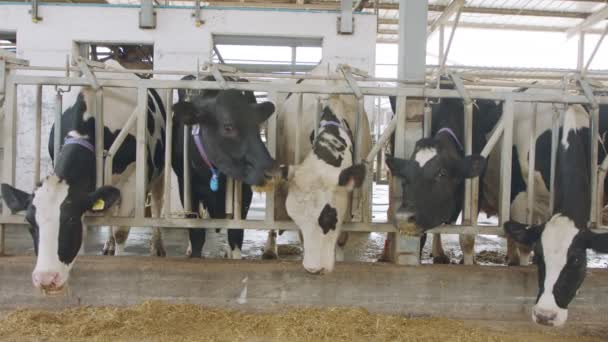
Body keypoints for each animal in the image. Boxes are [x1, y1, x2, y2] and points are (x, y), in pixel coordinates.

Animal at [0, 60, 166, 292]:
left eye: (69, 221)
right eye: (30, 223)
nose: (46, 278)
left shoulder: (133, 180)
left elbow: (121, 230)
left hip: (158, 175)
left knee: (157, 205)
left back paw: (157, 246)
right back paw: (108, 245)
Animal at [171, 74, 276, 256]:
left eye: (257, 125)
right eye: (228, 127)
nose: (270, 171)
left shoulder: (244, 193)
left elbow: (236, 234)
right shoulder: (187, 188)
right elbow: (196, 234)